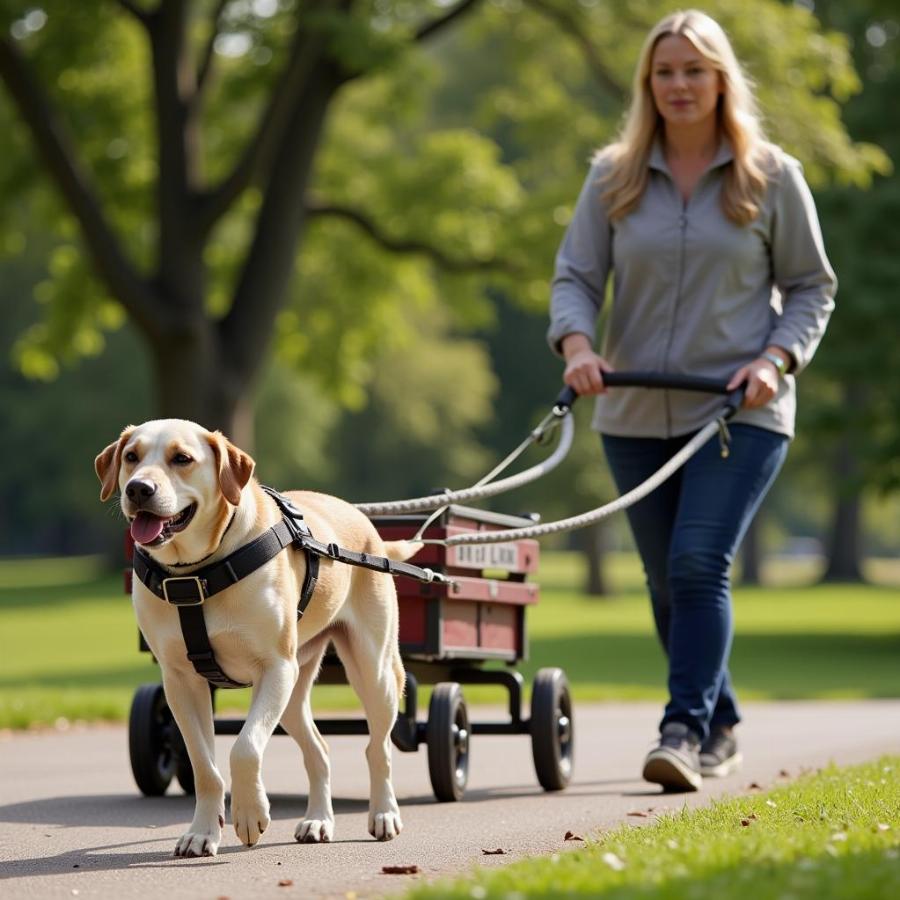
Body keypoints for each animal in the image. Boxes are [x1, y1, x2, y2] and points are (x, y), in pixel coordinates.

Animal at [93, 422, 416, 856]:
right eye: (131, 457)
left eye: (182, 458)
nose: (138, 489)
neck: (195, 573)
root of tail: (365, 522)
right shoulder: (180, 681)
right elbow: (204, 765)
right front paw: (202, 832)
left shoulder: (275, 667)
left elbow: (245, 748)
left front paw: (249, 815)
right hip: (294, 690)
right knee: (319, 750)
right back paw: (318, 820)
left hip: (372, 670)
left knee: (377, 748)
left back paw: (383, 814)